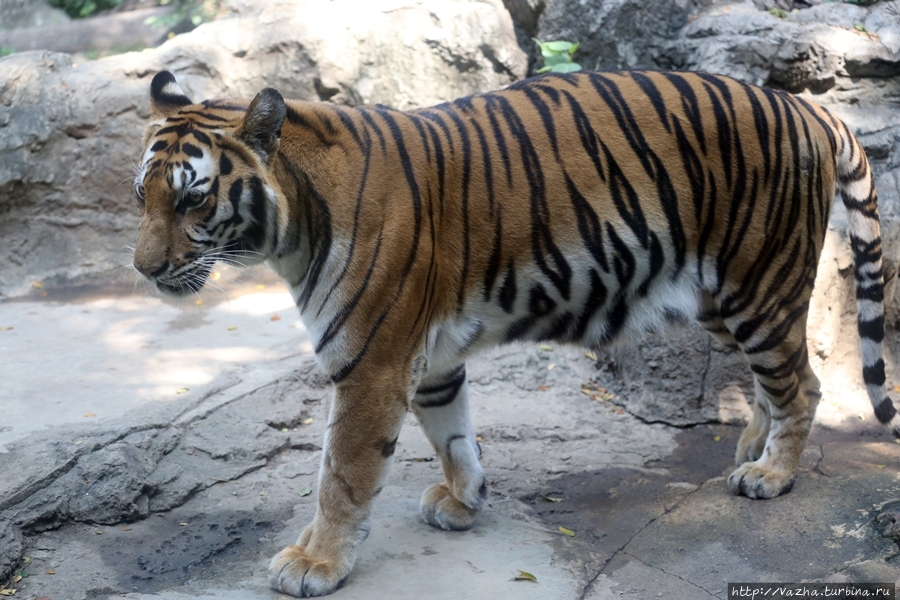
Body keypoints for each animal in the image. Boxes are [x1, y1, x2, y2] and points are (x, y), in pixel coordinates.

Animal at [132, 69, 900, 596]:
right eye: (141, 195)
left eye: (193, 198)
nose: (144, 270)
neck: (293, 225)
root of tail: (803, 104)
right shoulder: (429, 356)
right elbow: (453, 435)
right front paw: (465, 500)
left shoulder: (371, 363)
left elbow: (341, 475)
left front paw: (314, 561)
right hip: (723, 294)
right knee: (777, 379)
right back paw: (750, 449)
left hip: (759, 283)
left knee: (802, 384)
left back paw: (770, 474)